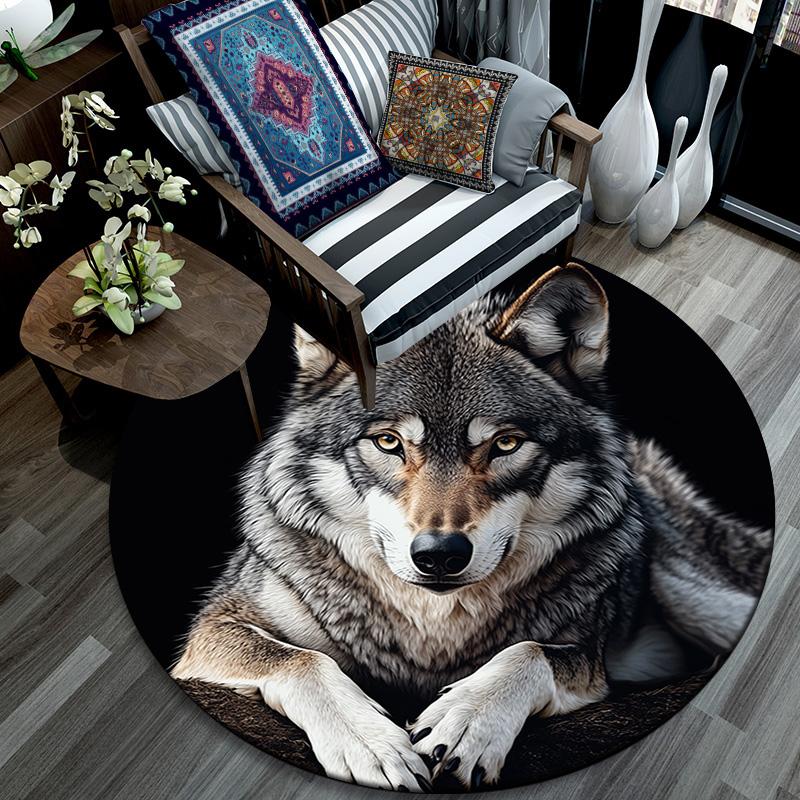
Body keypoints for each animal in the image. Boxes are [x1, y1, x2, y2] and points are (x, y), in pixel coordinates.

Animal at [172, 264, 771, 792]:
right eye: (388, 442)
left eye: (504, 443)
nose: (439, 554)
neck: (433, 632)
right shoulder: (211, 628)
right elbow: (303, 659)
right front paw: (372, 743)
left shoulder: (590, 658)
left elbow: (528, 651)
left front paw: (467, 721)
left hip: (698, 601)